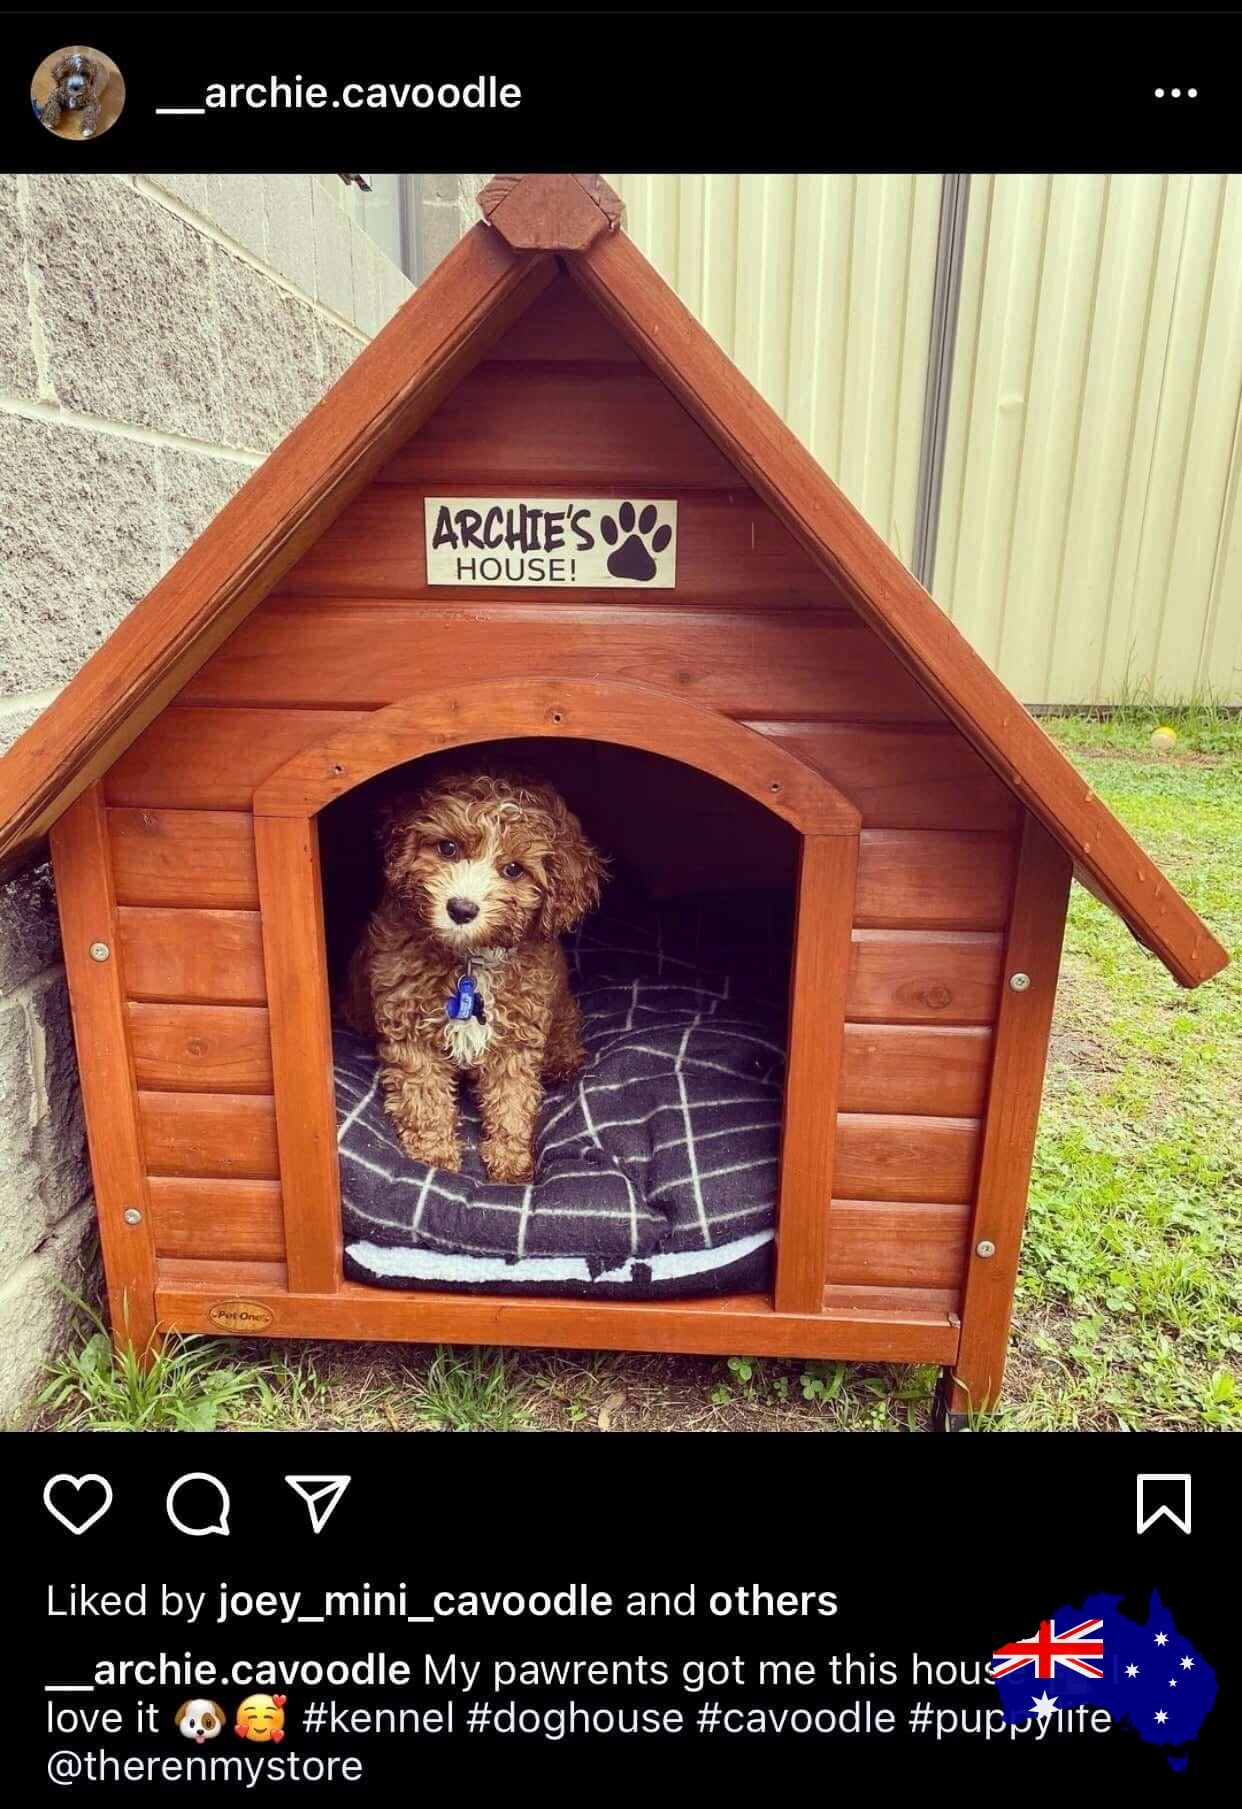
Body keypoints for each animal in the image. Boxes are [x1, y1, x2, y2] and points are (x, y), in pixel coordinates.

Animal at [341, 774, 603, 1186]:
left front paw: (511, 1165)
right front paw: (434, 1158)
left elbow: (512, 1099)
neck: (468, 962)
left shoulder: (517, 1034)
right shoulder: (410, 1030)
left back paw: (562, 1059)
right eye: (447, 847)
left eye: (514, 869)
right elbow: (424, 1096)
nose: (461, 908)